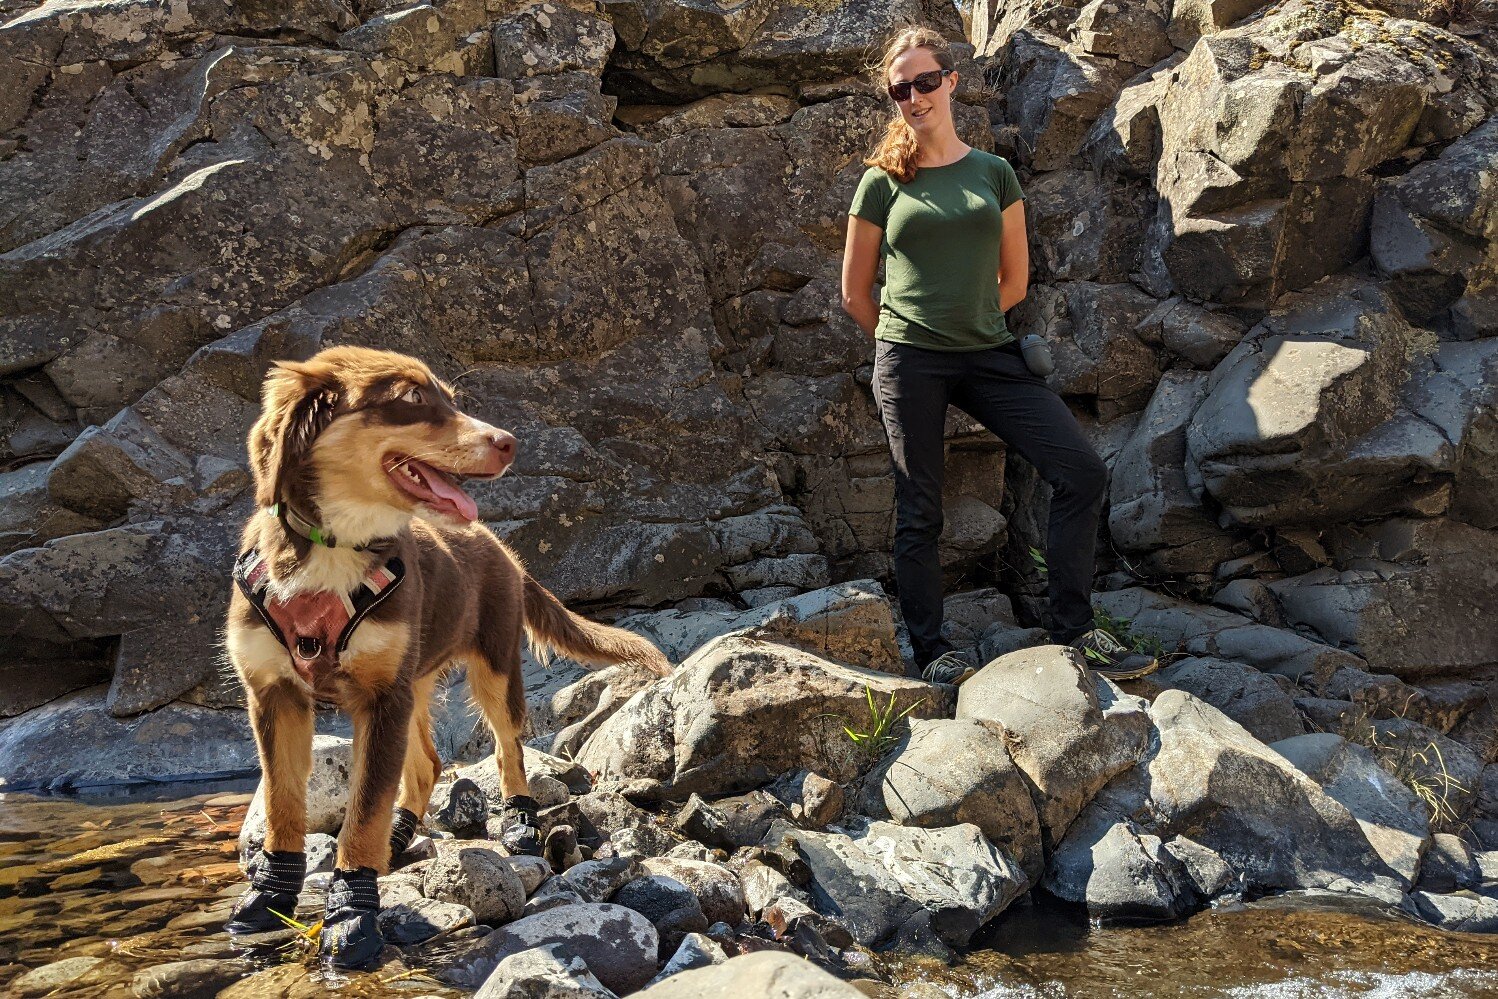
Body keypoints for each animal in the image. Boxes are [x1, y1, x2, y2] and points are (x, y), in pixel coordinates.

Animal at [221, 347, 668, 964]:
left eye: (450, 399)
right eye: (412, 399)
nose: (509, 442)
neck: (334, 551)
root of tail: (501, 548)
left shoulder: (381, 697)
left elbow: (363, 811)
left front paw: (352, 913)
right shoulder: (276, 695)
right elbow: (286, 803)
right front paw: (270, 897)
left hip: (492, 670)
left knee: (508, 750)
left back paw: (519, 822)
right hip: (413, 687)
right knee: (427, 765)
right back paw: (401, 834)